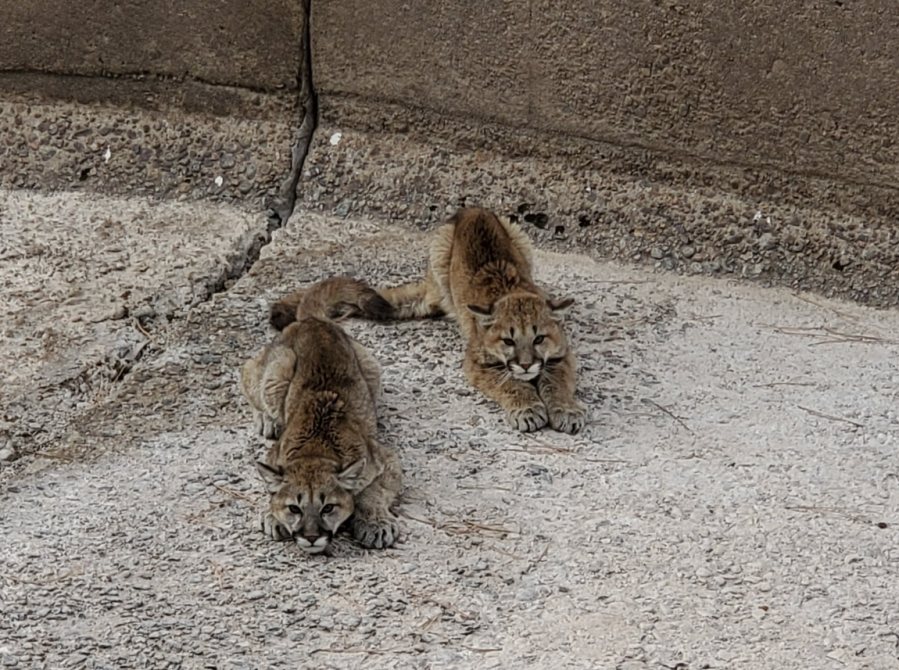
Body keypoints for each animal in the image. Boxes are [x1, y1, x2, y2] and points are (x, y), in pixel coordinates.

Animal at [243, 278, 404, 556]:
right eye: (295, 509)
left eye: (327, 508)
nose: (311, 536)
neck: (317, 447)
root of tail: (313, 320)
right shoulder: (274, 455)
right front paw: (274, 515)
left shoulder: (387, 461)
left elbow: (373, 493)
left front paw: (375, 523)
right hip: (278, 369)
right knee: (247, 371)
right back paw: (267, 419)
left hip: (372, 368)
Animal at [376, 209, 588, 436]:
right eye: (508, 341)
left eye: (539, 339)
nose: (526, 365)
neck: (510, 292)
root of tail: (472, 209)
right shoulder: (477, 363)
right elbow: (511, 383)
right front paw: (528, 409)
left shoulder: (561, 354)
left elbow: (557, 383)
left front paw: (566, 410)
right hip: (440, 250)